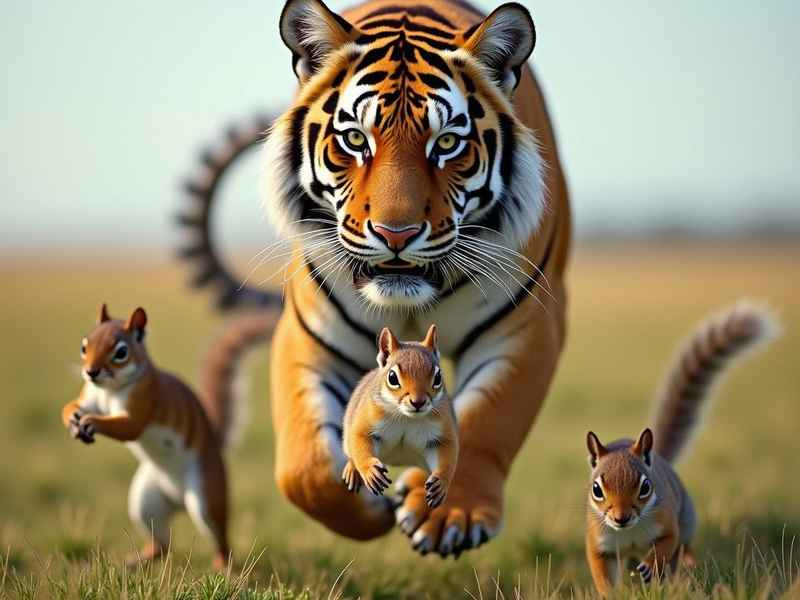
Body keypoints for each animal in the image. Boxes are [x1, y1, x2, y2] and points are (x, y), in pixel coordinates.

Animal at [177, 0, 571, 558]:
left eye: (447, 143)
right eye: (355, 139)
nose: (395, 233)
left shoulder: (527, 331)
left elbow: (486, 419)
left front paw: (447, 515)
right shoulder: (308, 337)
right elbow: (304, 470)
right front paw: (367, 500)